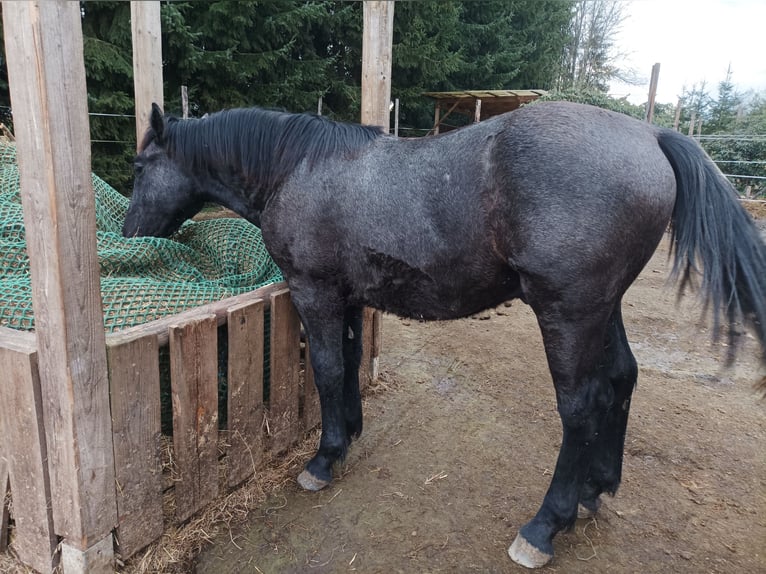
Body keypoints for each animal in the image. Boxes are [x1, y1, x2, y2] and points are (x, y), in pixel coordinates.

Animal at [123, 101, 766, 568]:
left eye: (138, 167)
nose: (128, 233)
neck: (300, 167)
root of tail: (651, 135)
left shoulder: (314, 292)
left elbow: (327, 370)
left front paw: (323, 459)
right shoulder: (348, 298)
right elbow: (348, 365)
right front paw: (349, 434)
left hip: (569, 312)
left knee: (582, 405)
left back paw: (544, 526)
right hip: (605, 309)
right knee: (622, 380)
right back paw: (595, 489)